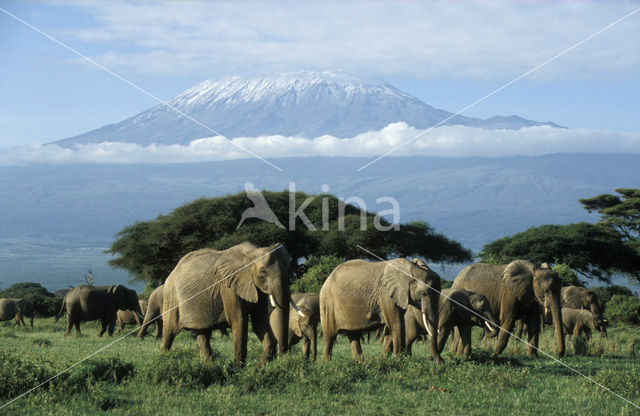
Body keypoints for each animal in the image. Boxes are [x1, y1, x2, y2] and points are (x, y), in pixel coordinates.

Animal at [159, 242, 302, 362]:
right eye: (263, 272)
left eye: (288, 269)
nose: (282, 357)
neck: (251, 254)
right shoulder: (228, 287)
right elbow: (239, 322)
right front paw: (238, 370)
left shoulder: (257, 289)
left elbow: (259, 322)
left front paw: (260, 367)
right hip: (171, 296)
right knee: (169, 332)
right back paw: (163, 360)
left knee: (202, 334)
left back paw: (209, 365)